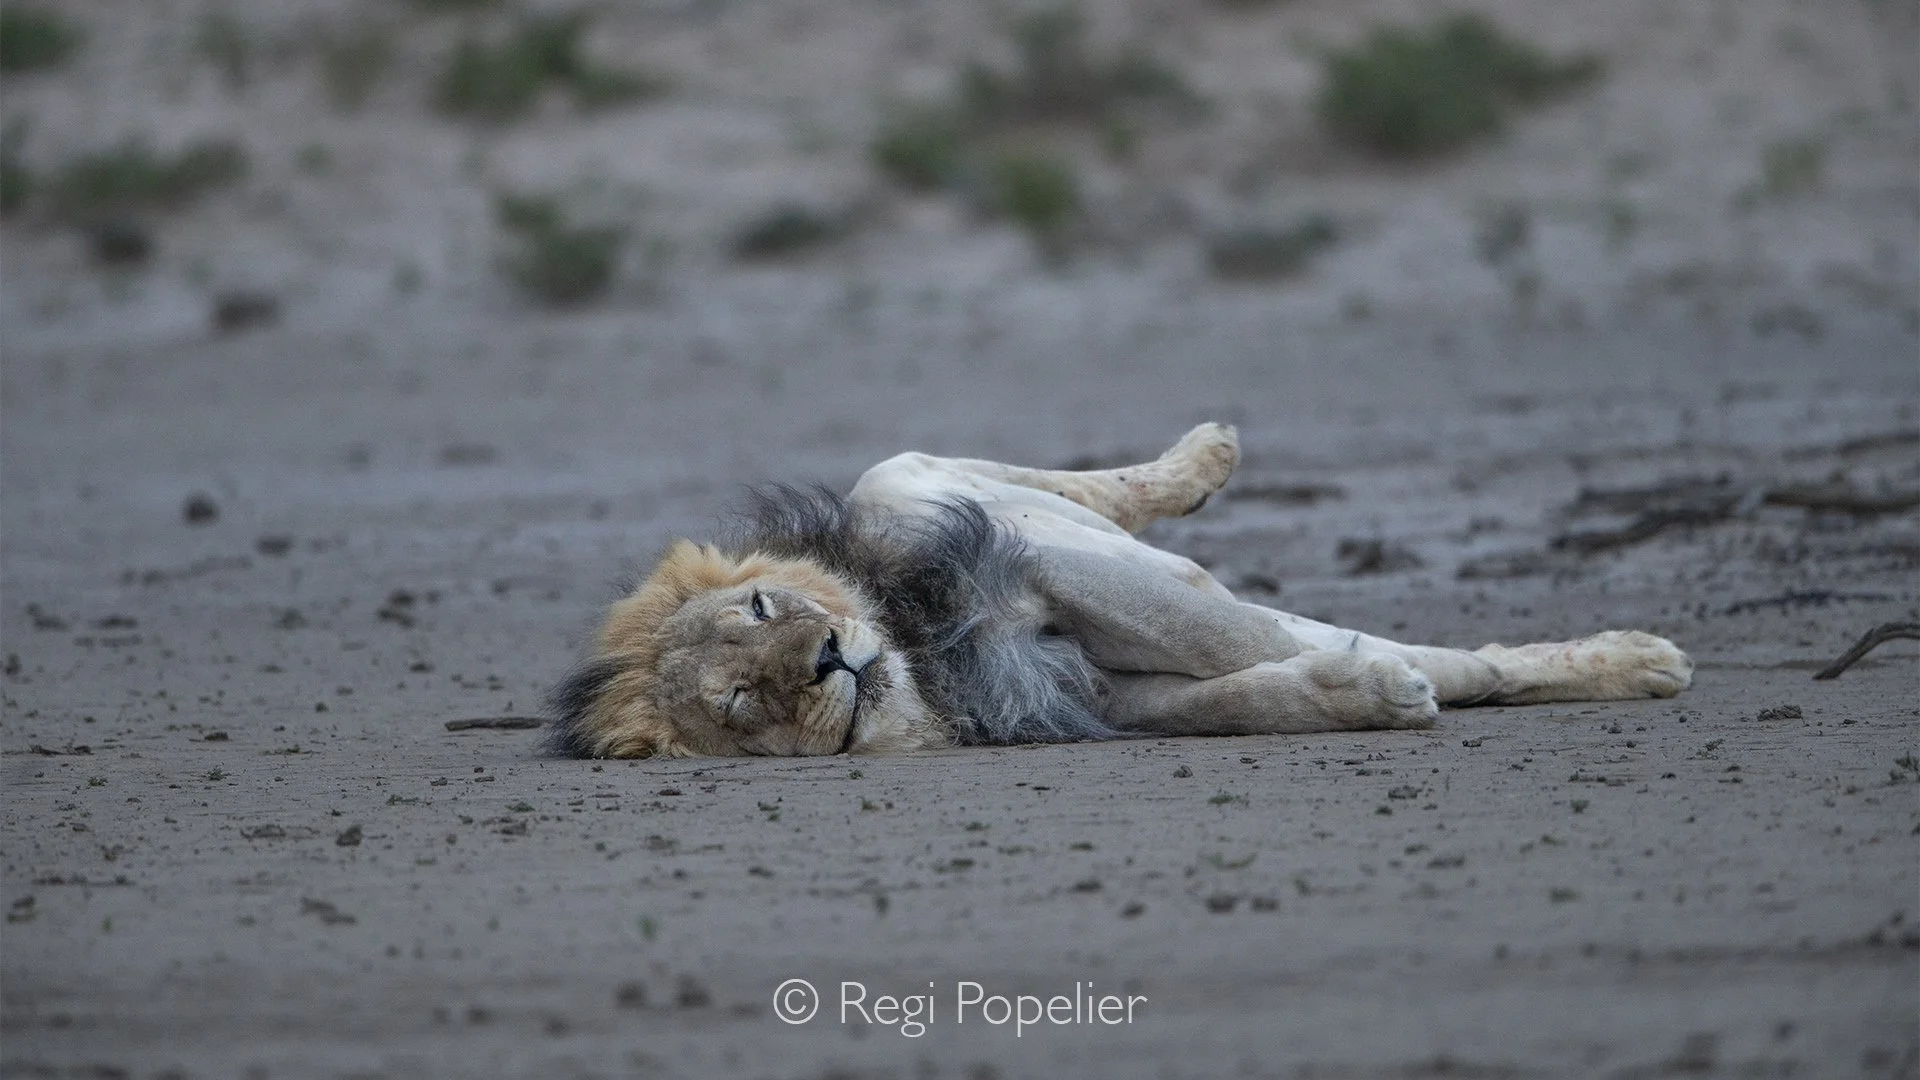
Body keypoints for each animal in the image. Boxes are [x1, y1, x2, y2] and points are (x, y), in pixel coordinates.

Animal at [546, 423, 1692, 758]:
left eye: (761, 610)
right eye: (742, 701)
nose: (827, 658)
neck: (929, 668)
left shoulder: (1031, 564)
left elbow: (1229, 632)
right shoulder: (1098, 700)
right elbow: (1244, 690)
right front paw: (1359, 689)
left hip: (902, 486)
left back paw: (1205, 454)